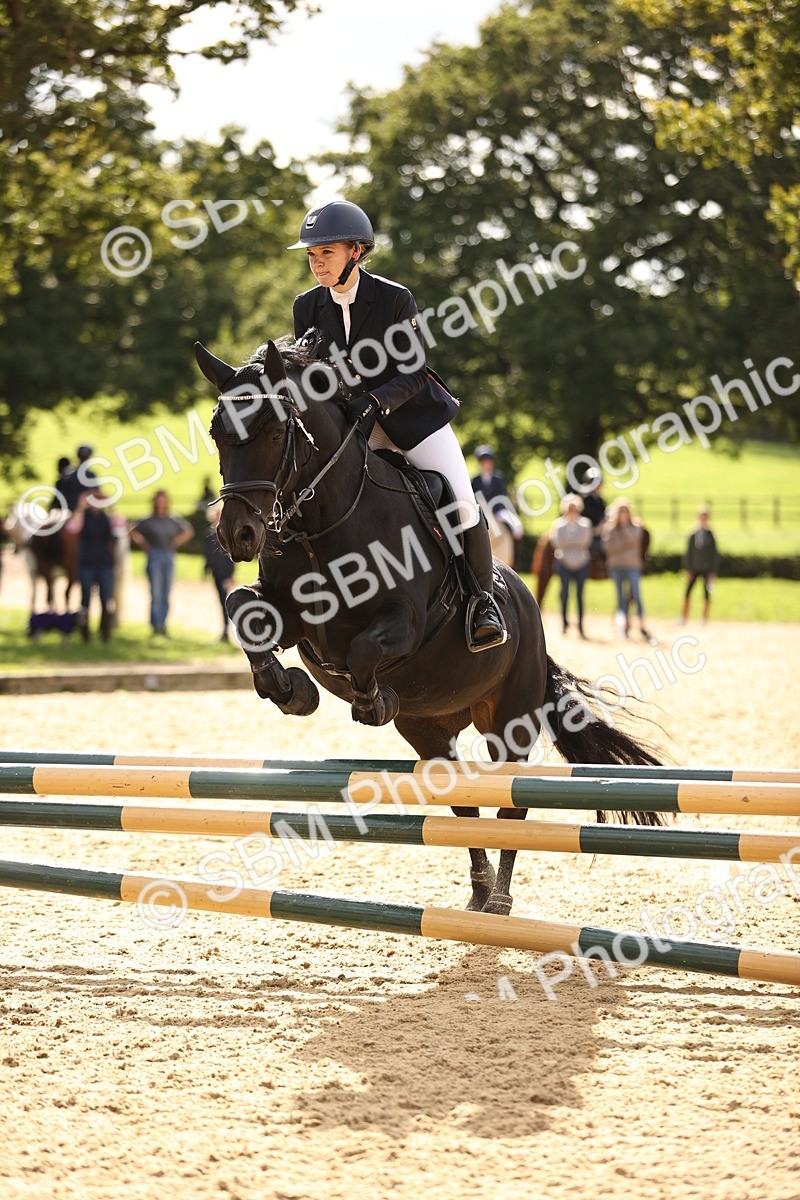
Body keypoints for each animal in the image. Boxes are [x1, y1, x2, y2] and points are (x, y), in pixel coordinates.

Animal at [196, 336, 661, 917]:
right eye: (217, 432)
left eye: (278, 432)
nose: (237, 534)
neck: (323, 521)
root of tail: (529, 609)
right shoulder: (294, 620)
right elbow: (241, 607)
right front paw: (290, 690)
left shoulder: (405, 624)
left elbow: (364, 650)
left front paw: (371, 700)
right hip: (432, 730)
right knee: (464, 804)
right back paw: (480, 892)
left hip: (511, 720)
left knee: (511, 805)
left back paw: (499, 899)